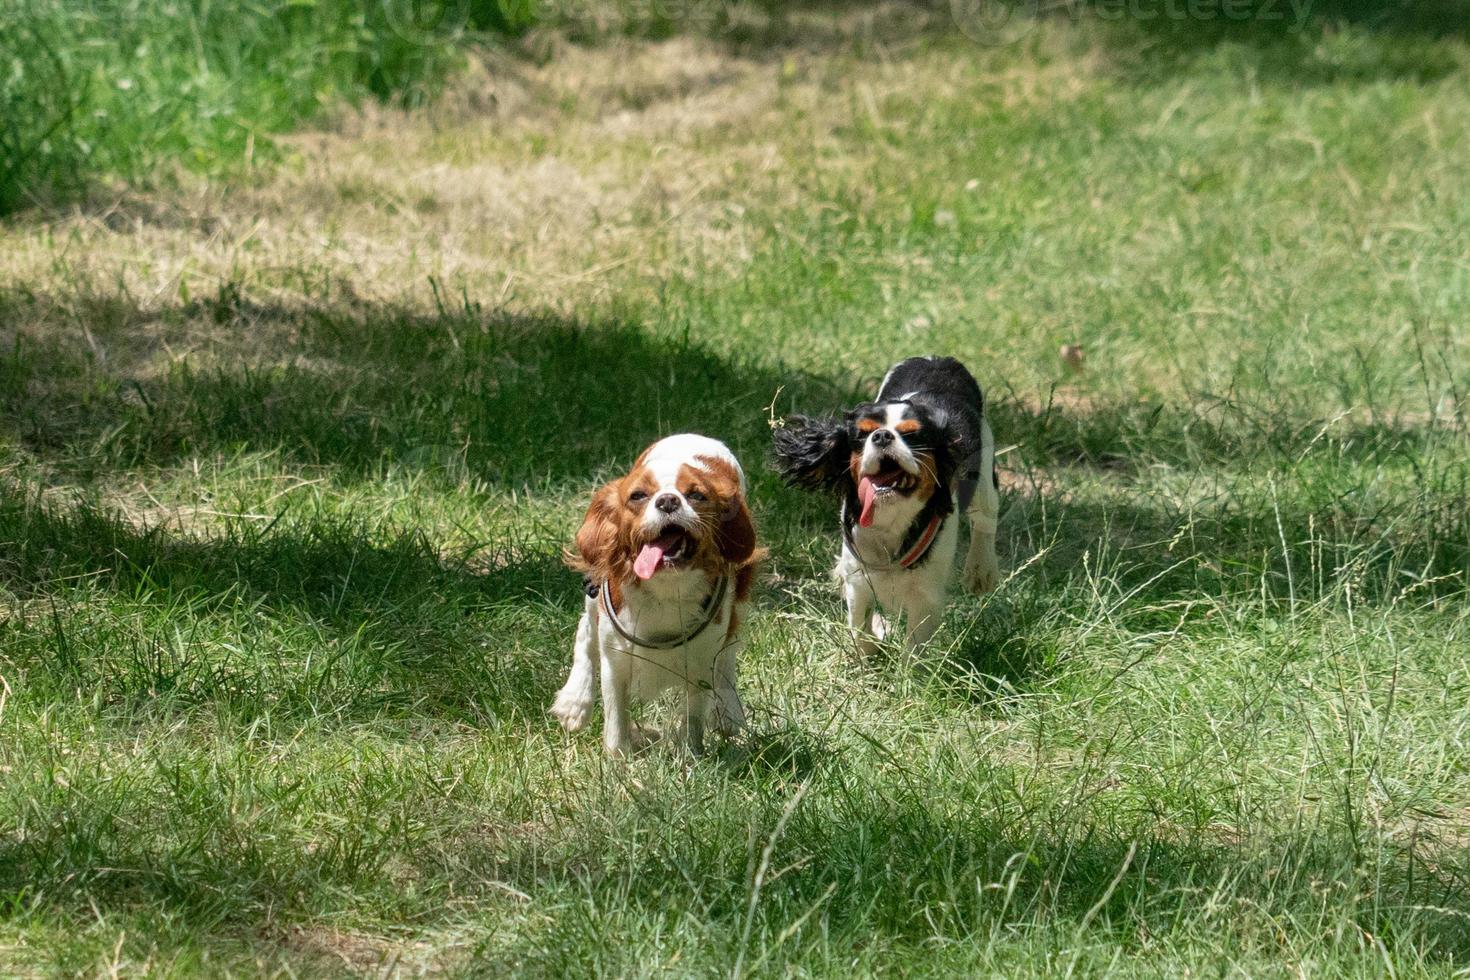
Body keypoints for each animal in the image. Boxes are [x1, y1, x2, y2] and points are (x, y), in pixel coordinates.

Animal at [549, 431, 758, 758]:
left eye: (697, 495)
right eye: (637, 495)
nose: (669, 500)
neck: (665, 586)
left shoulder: (701, 661)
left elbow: (694, 717)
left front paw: (691, 757)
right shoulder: (615, 657)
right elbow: (616, 720)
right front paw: (617, 761)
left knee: (728, 655)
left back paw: (728, 712)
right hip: (594, 594)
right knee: (585, 630)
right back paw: (575, 701)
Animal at [770, 357, 999, 655]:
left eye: (912, 435)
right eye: (862, 434)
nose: (881, 436)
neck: (890, 518)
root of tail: (937, 359)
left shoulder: (926, 596)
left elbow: (914, 647)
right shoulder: (860, 580)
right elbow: (859, 626)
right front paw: (866, 655)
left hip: (984, 473)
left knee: (986, 518)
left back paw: (981, 570)